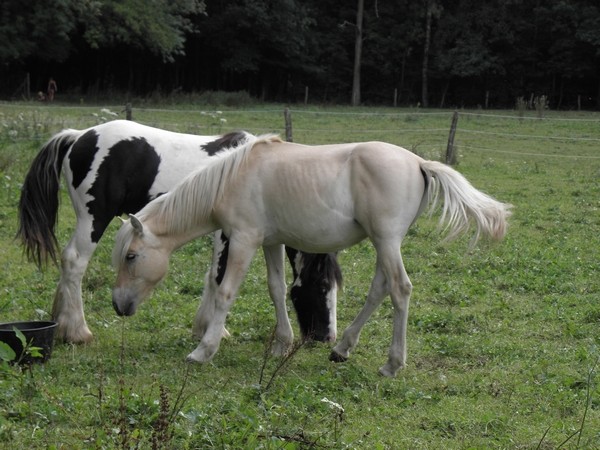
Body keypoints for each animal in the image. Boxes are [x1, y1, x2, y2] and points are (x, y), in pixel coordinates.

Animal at [16, 119, 340, 344]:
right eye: (323, 286)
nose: (326, 338)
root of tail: (78, 135)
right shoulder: (229, 233)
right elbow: (219, 277)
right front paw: (213, 330)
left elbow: (212, 276)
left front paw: (206, 327)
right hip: (93, 219)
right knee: (74, 261)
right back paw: (78, 331)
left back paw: (62, 324)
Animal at [110, 134, 508, 376]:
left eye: (131, 256)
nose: (118, 306)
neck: (233, 177)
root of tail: (419, 163)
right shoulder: (269, 242)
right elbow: (275, 289)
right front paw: (282, 345)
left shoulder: (243, 240)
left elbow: (225, 293)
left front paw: (204, 350)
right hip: (385, 243)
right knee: (379, 289)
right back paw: (342, 348)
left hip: (386, 241)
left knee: (400, 290)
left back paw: (391, 364)